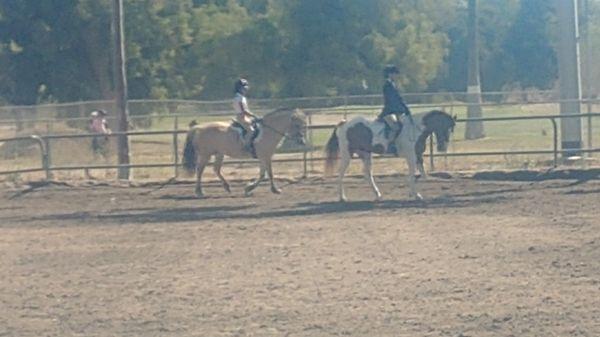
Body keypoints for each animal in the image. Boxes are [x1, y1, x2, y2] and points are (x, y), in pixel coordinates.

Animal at [326, 109, 458, 201]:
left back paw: (378, 195)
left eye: (451, 129)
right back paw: (342, 197)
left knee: (368, 175)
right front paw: (415, 194)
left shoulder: (418, 156)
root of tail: (344, 123)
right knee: (341, 174)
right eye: (444, 126)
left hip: (365, 154)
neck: (416, 129)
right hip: (347, 154)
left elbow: (423, 176)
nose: (442, 148)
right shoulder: (411, 157)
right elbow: (413, 175)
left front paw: (413, 192)